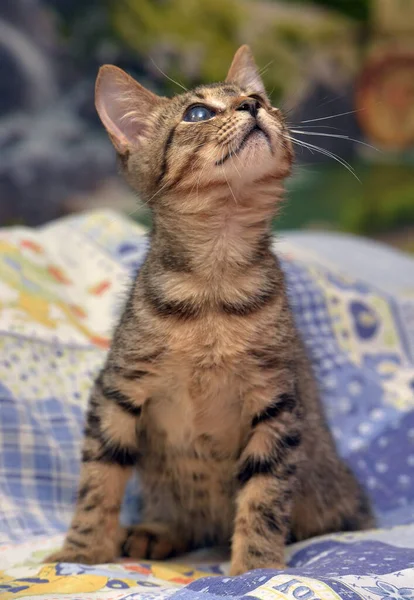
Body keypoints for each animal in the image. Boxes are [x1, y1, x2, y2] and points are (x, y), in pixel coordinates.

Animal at [46, 45, 376, 572]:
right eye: (197, 113)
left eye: (260, 97)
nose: (252, 106)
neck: (212, 291)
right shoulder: (117, 388)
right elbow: (99, 480)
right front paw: (80, 551)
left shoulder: (276, 402)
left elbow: (264, 495)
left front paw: (256, 568)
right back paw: (155, 531)